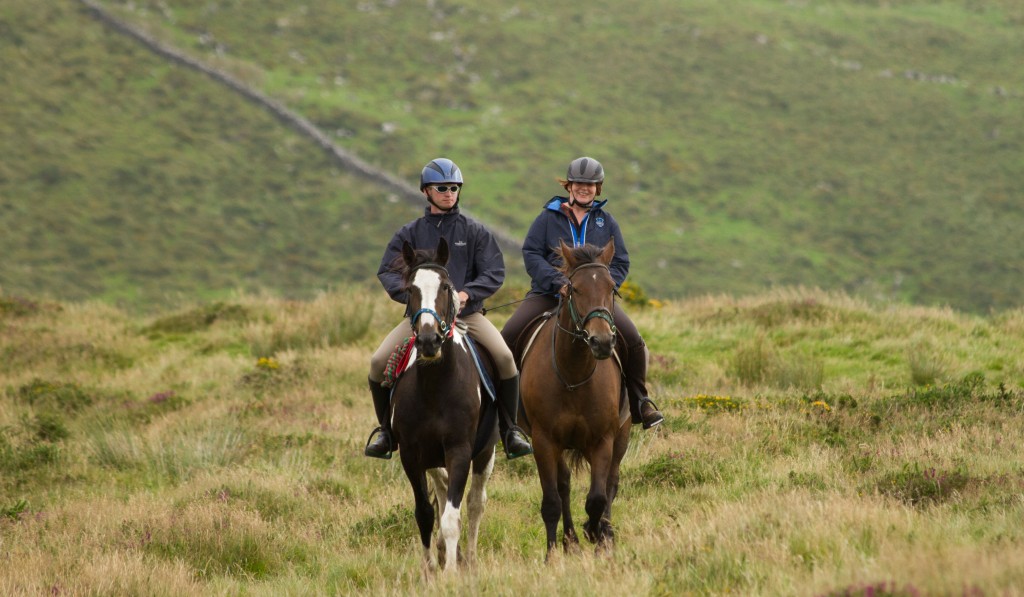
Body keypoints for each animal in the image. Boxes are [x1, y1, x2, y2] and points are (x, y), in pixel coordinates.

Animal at [516, 239, 626, 561]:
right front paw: (553, 554)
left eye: (612, 287)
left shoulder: (602, 440)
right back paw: (570, 541)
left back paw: (604, 534)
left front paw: (598, 536)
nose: (601, 342)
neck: (573, 373)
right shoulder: (544, 441)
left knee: (611, 483)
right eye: (574, 289)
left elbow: (597, 498)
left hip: (621, 436)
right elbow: (552, 500)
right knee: (563, 485)